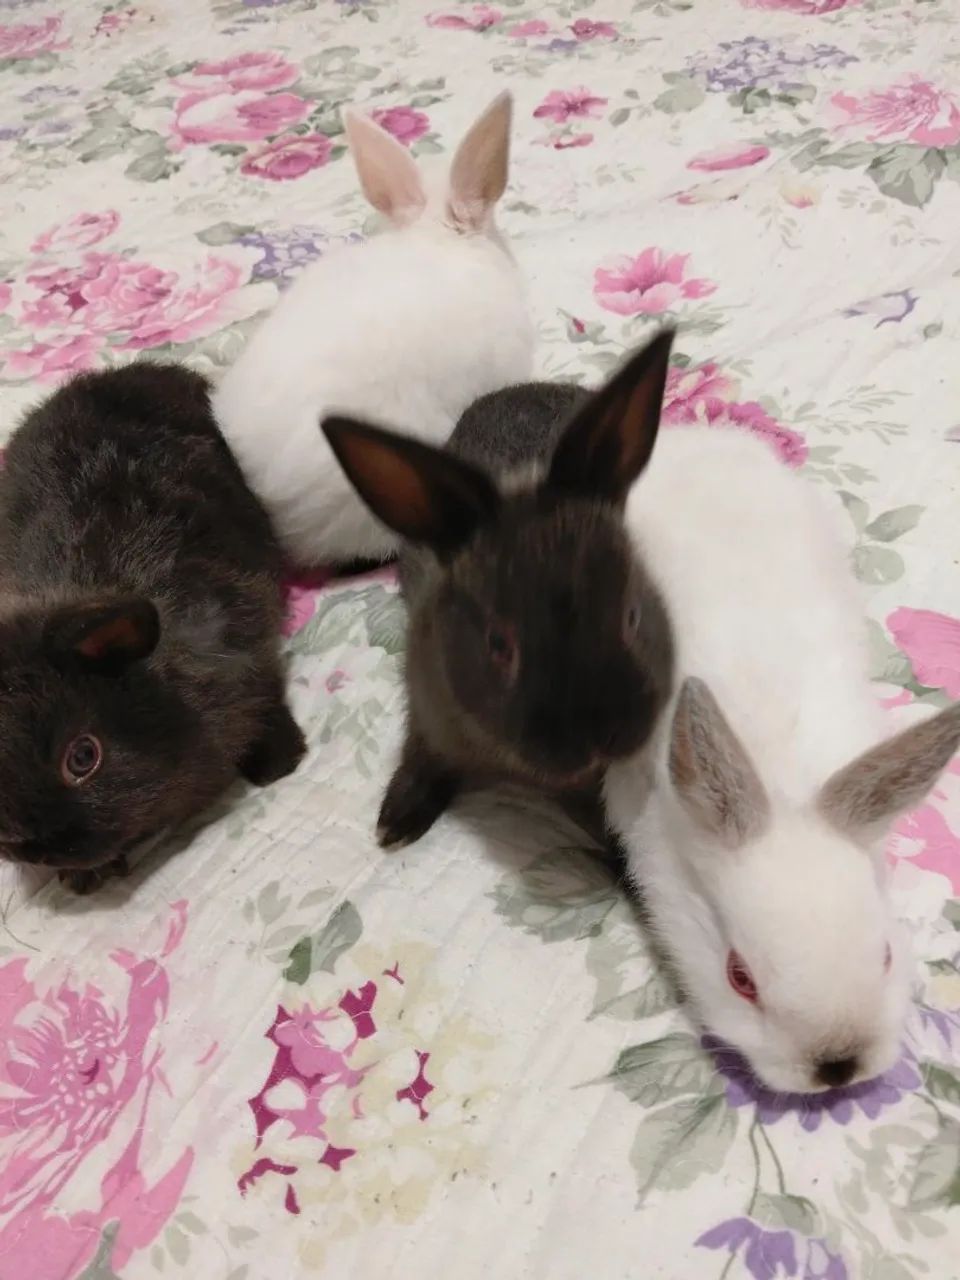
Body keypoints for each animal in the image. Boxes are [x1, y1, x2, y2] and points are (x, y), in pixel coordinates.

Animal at [321, 330, 677, 850]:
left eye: (631, 616)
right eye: (499, 644)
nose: (599, 740)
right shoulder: (427, 716)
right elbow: (419, 757)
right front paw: (396, 823)